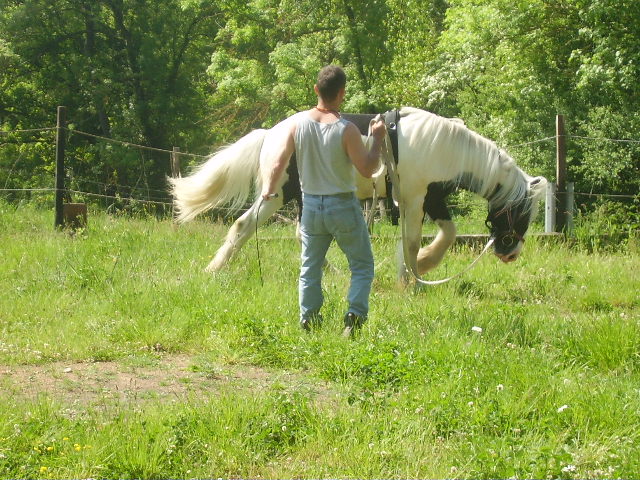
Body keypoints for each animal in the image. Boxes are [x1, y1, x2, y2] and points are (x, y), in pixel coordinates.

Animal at [169, 108, 544, 282]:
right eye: (522, 212)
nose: (511, 253)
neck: (444, 148)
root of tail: (272, 133)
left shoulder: (433, 198)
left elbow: (448, 234)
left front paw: (423, 265)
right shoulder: (414, 199)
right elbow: (411, 241)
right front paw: (411, 279)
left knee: (295, 234)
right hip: (276, 195)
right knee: (244, 226)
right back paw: (216, 269)